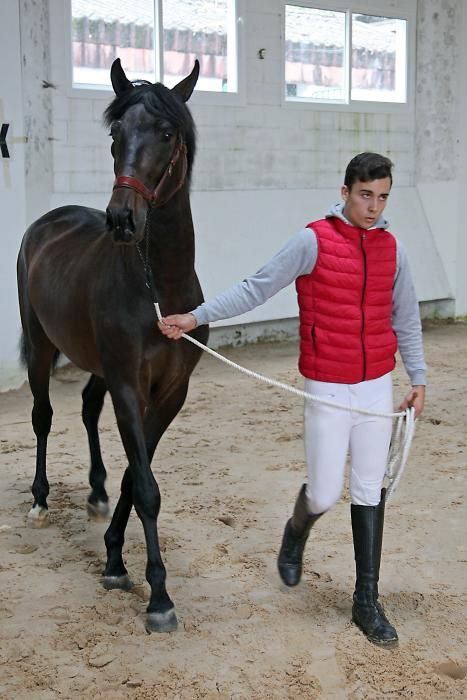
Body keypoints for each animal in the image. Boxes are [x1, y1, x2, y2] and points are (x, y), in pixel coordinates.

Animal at [16, 57, 209, 632]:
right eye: (115, 133)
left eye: (166, 133)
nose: (122, 219)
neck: (159, 289)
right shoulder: (128, 385)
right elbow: (145, 486)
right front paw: (159, 597)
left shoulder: (169, 393)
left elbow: (133, 476)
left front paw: (115, 558)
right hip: (41, 347)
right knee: (43, 416)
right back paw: (39, 502)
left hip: (96, 364)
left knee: (85, 409)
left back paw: (95, 492)